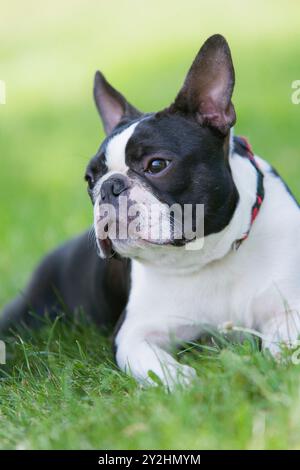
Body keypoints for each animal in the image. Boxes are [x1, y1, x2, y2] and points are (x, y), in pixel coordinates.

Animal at [1, 35, 300, 388]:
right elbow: (162, 369)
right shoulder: (133, 333)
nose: (109, 186)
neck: (208, 254)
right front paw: (188, 383)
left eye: (157, 165)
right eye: (90, 179)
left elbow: (284, 347)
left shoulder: (287, 309)